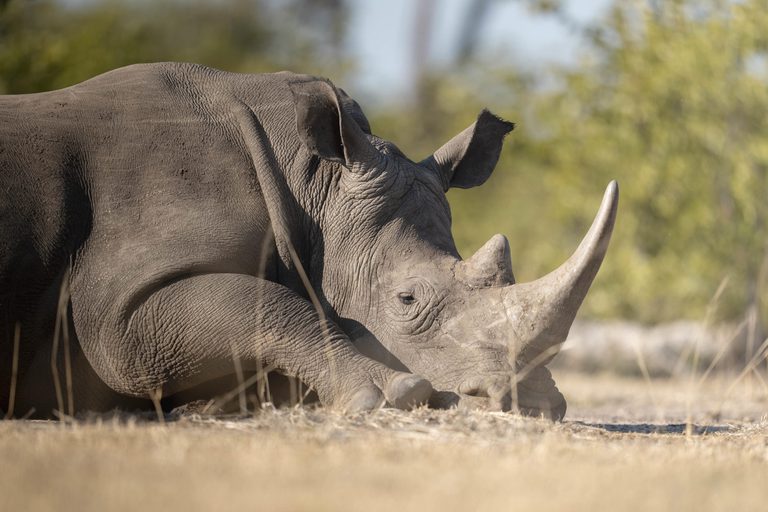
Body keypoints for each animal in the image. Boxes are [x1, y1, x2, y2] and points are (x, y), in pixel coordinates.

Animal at [0, 63, 617, 420]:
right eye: (406, 300)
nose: (531, 406)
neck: (311, 184)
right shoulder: (124, 299)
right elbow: (269, 305)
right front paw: (392, 392)